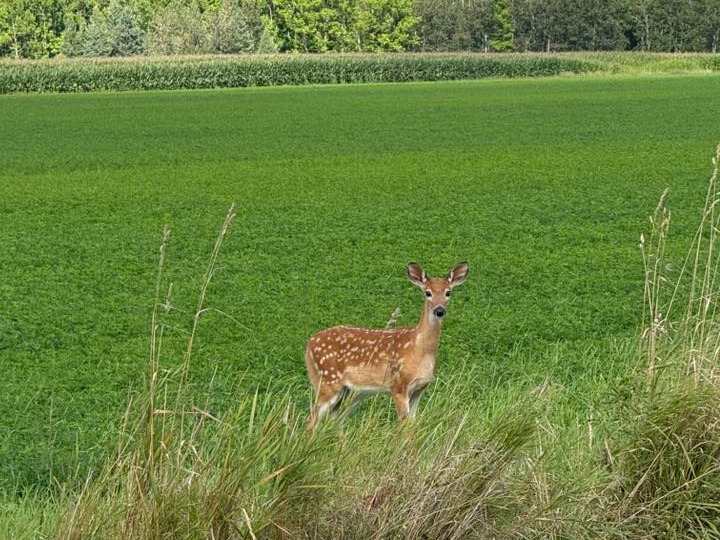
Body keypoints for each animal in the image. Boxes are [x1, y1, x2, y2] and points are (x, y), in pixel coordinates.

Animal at [304, 262, 468, 431]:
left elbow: (413, 426)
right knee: (311, 421)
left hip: (349, 391)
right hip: (327, 381)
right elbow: (405, 428)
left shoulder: (419, 389)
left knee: (335, 421)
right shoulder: (398, 384)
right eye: (427, 293)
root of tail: (309, 344)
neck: (419, 350)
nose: (439, 310)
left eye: (448, 292)